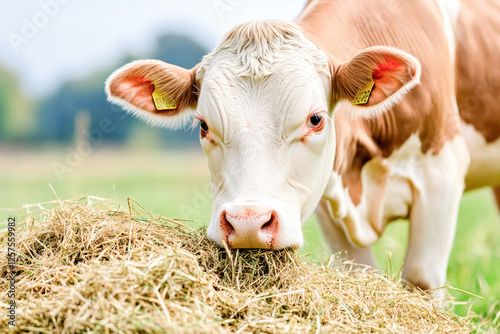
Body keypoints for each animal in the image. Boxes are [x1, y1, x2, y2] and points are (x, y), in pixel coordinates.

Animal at [103, 0, 498, 292]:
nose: (248, 224)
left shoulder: (442, 172)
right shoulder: (328, 200)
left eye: (316, 119)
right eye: (202, 125)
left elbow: (420, 279)